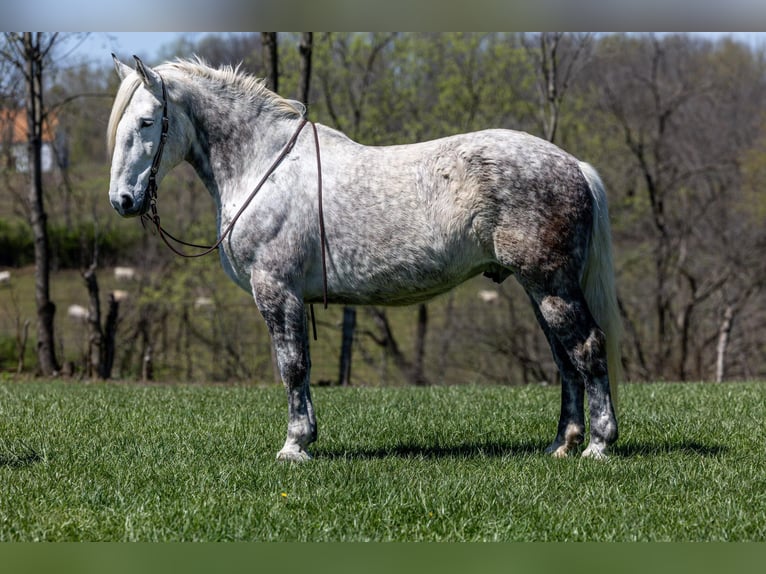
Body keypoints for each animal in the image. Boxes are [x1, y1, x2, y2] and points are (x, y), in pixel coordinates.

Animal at [108, 55, 624, 464]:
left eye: (148, 121)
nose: (123, 200)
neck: (263, 166)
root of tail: (574, 165)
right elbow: (299, 365)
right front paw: (305, 438)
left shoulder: (277, 291)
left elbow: (292, 366)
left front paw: (294, 446)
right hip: (539, 289)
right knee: (564, 359)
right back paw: (562, 443)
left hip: (551, 286)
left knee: (587, 348)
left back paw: (598, 445)